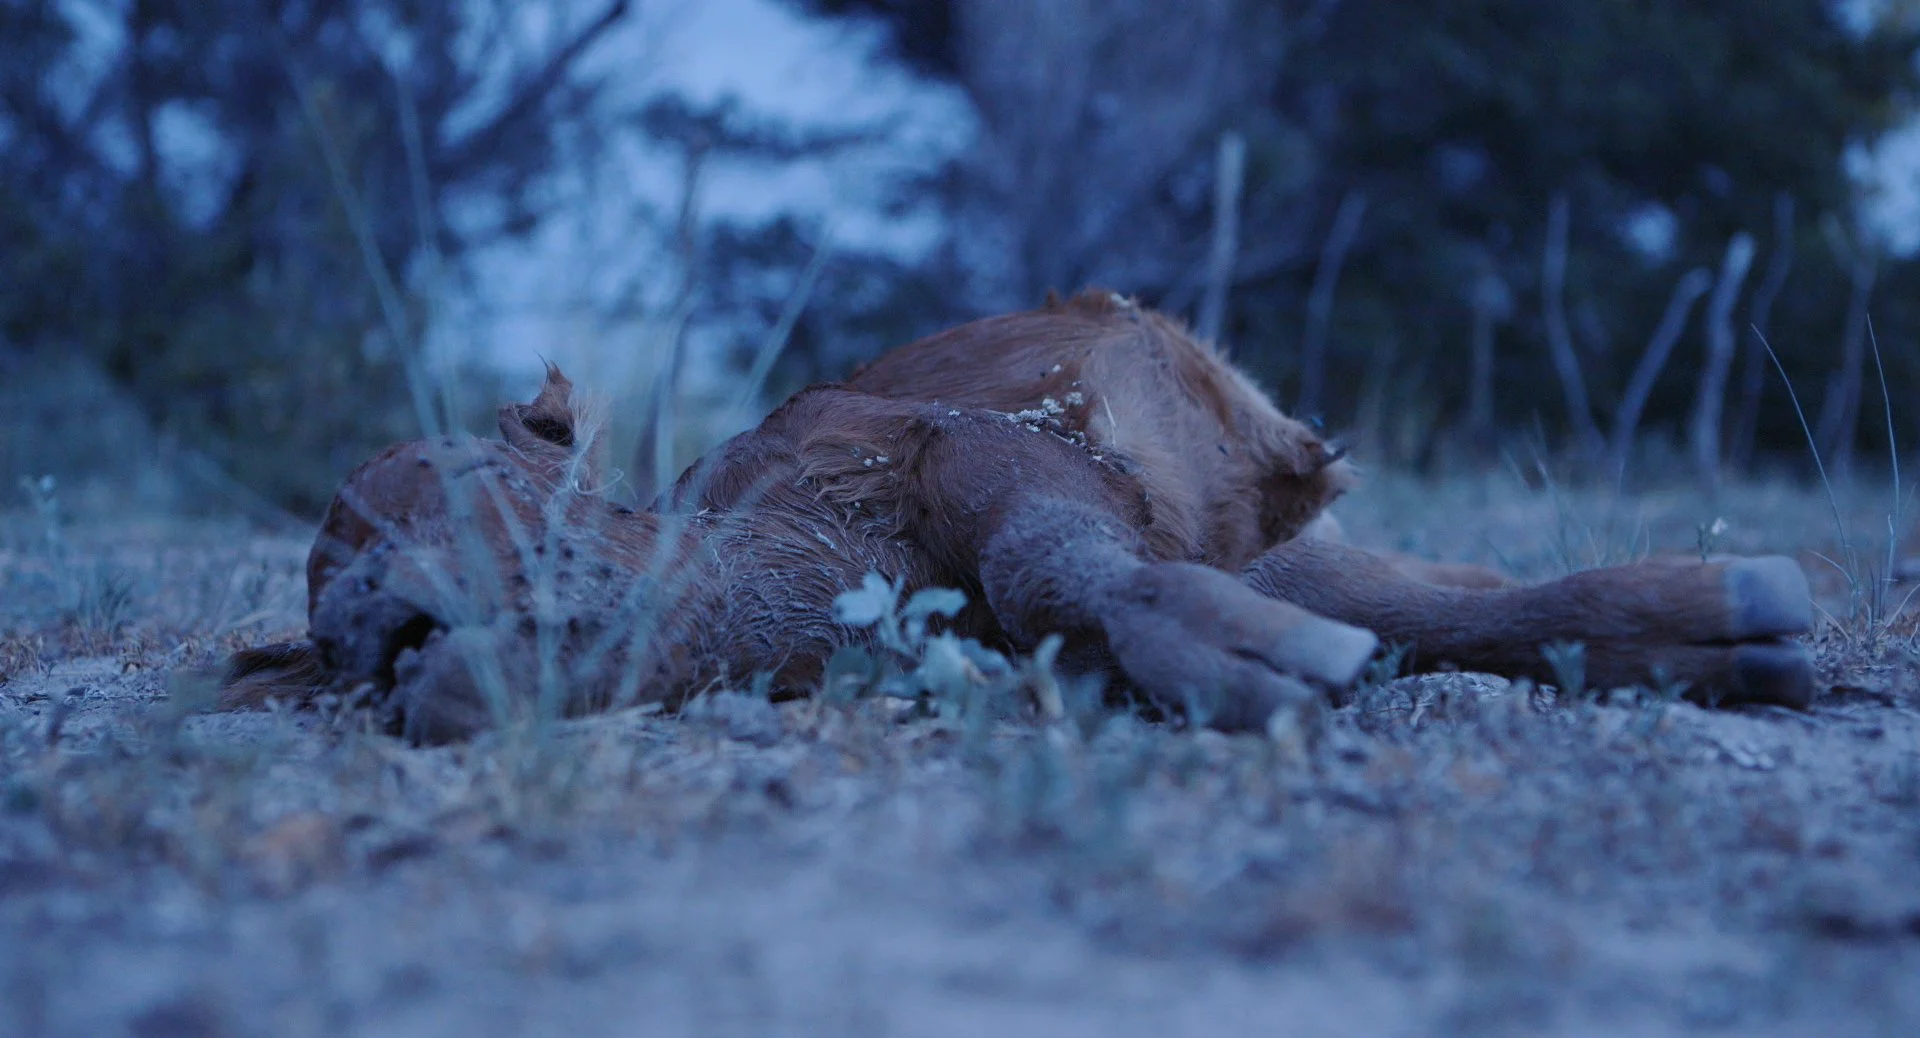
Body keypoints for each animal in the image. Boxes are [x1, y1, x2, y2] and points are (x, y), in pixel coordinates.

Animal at [221, 290, 1815, 742]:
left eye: (441, 490)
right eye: (316, 613)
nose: (360, 629)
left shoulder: (983, 452)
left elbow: (1061, 562)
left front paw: (1247, 664)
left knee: (1439, 589)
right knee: (1447, 596)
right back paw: (1731, 633)